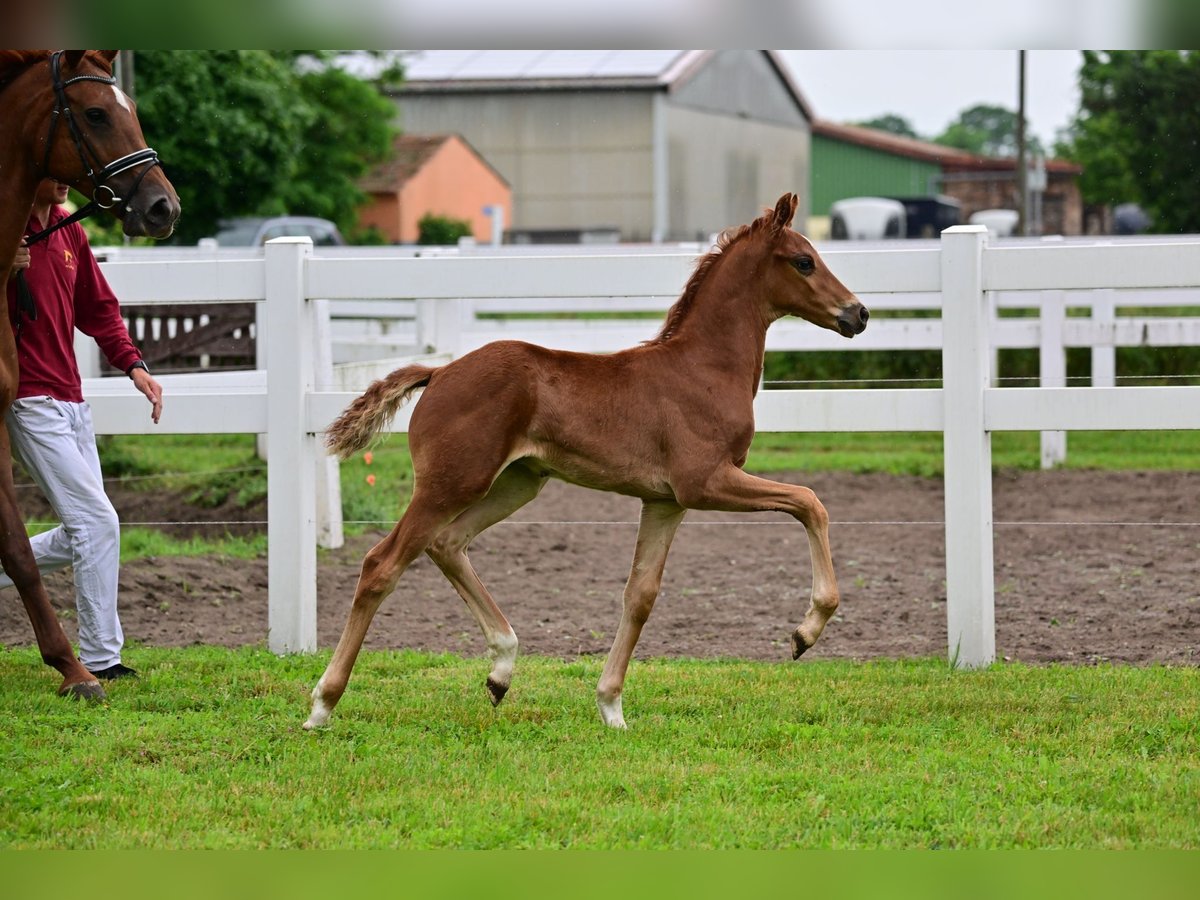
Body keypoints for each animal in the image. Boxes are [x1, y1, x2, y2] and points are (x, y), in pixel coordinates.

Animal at [304, 194, 868, 729]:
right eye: (803, 261)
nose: (858, 313)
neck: (702, 368)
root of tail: (438, 372)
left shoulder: (664, 502)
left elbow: (640, 595)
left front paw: (611, 706)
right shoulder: (706, 482)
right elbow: (810, 502)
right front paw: (804, 633)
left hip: (515, 484)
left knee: (446, 543)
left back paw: (501, 671)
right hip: (451, 483)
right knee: (383, 563)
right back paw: (322, 704)